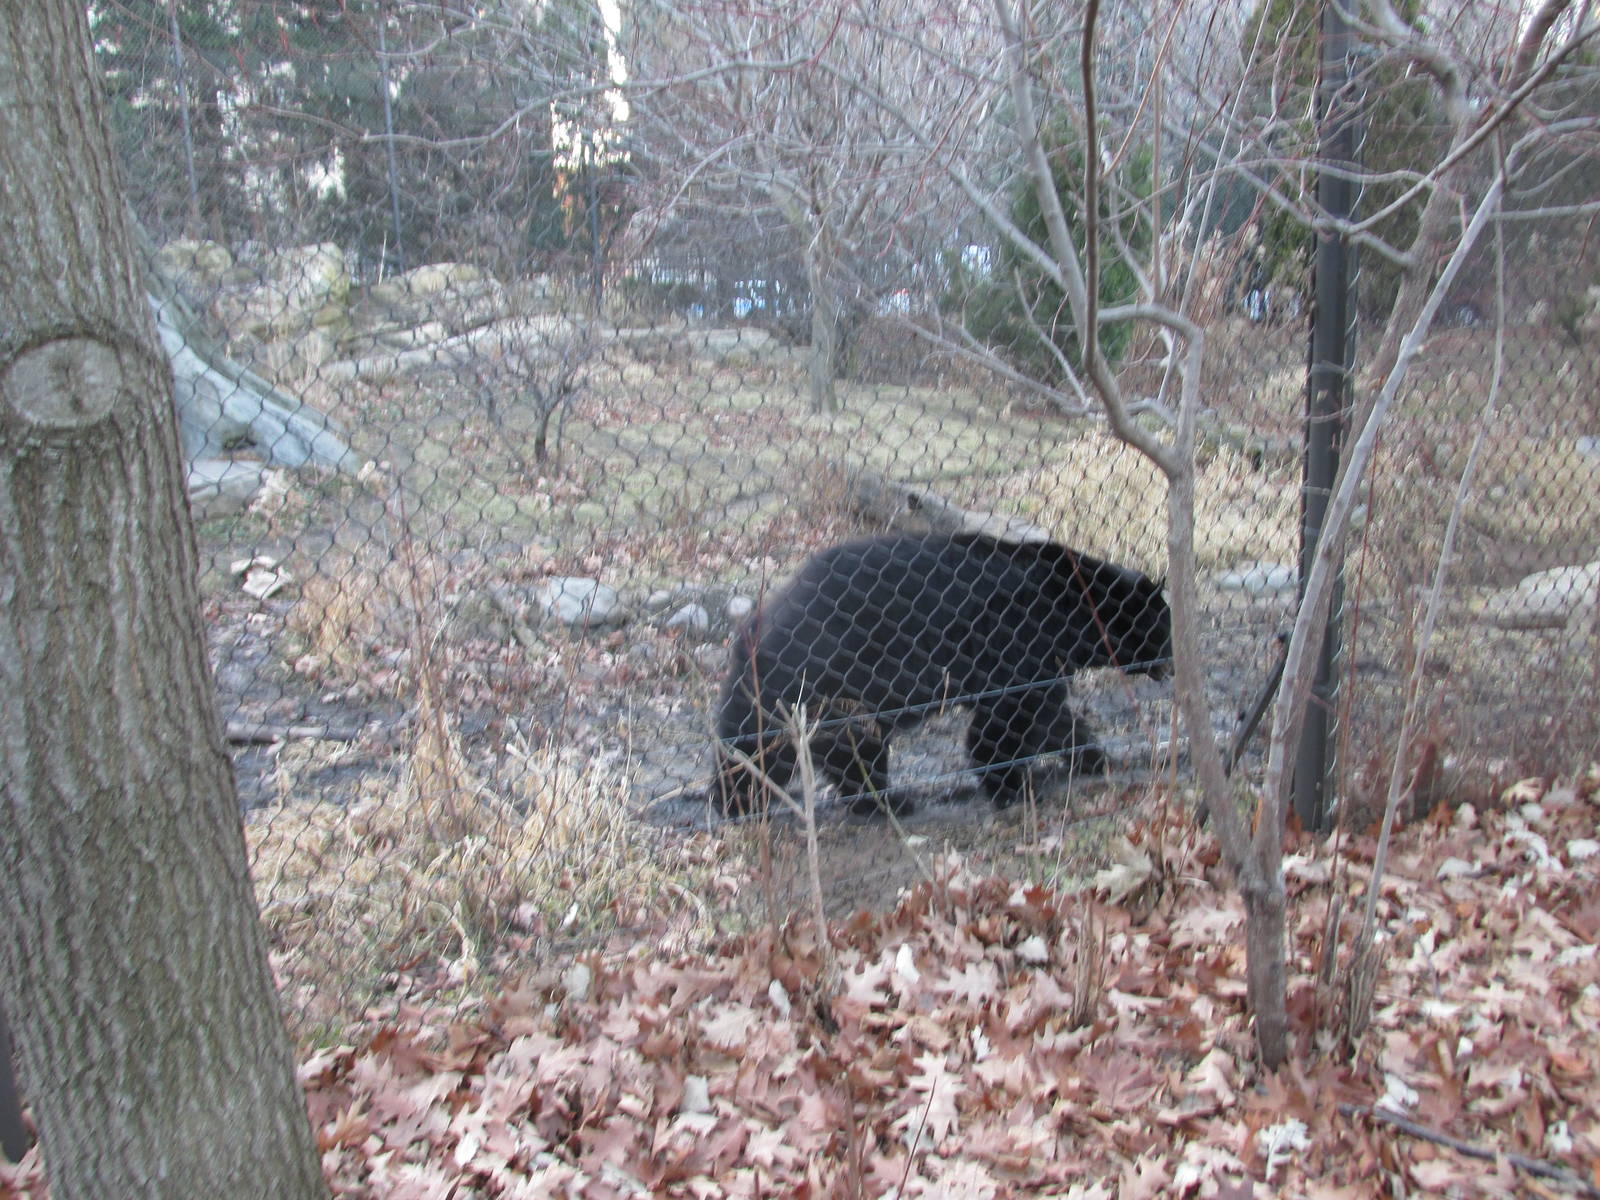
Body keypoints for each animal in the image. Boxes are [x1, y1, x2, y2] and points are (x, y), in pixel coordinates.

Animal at [708, 531, 1171, 816]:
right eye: (1163, 627)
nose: (1171, 661)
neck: (1075, 608)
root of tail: (757, 623)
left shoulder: (1046, 661)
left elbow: (1053, 716)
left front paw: (1094, 758)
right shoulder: (1020, 643)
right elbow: (1009, 719)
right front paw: (1012, 786)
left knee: (771, 743)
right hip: (831, 679)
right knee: (816, 748)